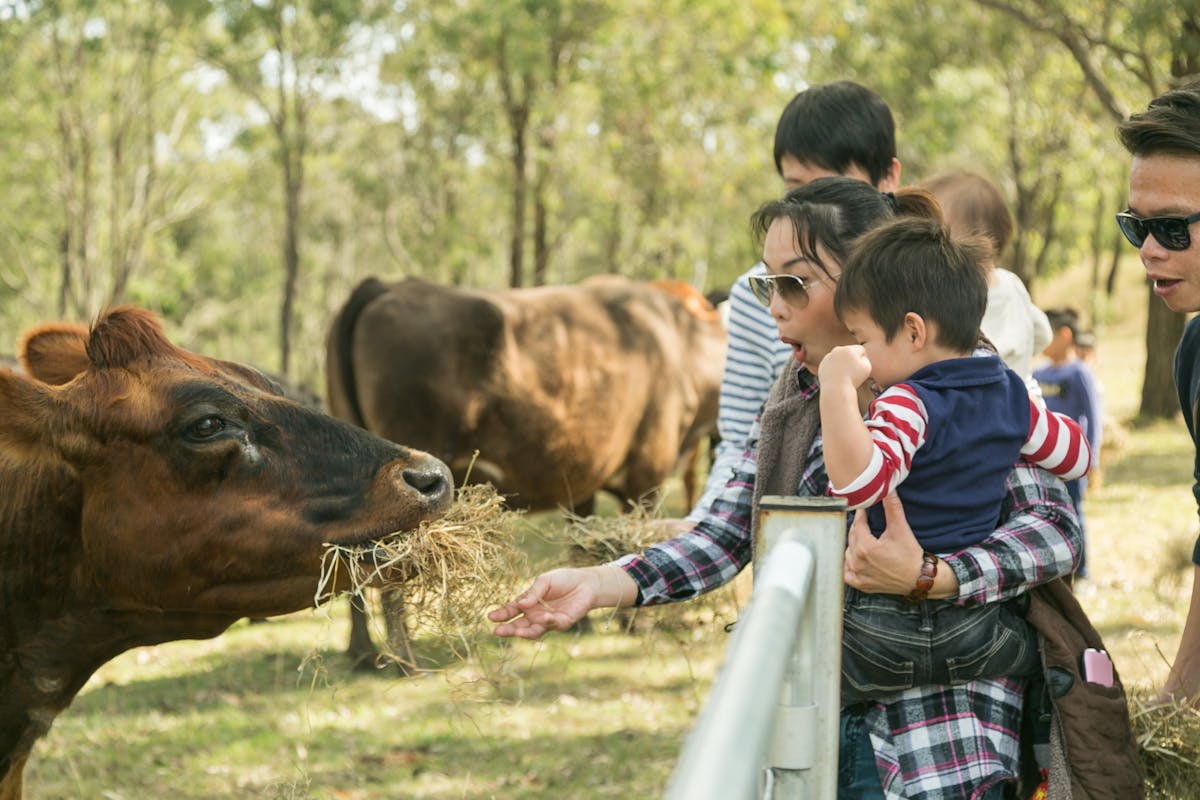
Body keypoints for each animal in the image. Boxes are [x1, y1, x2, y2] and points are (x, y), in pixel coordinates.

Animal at [324, 275, 724, 671]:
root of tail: (386, 285)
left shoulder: (582, 476)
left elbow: (580, 543)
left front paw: (580, 622)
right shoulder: (646, 472)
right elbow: (632, 541)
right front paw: (634, 623)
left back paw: (363, 652)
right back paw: (405, 658)